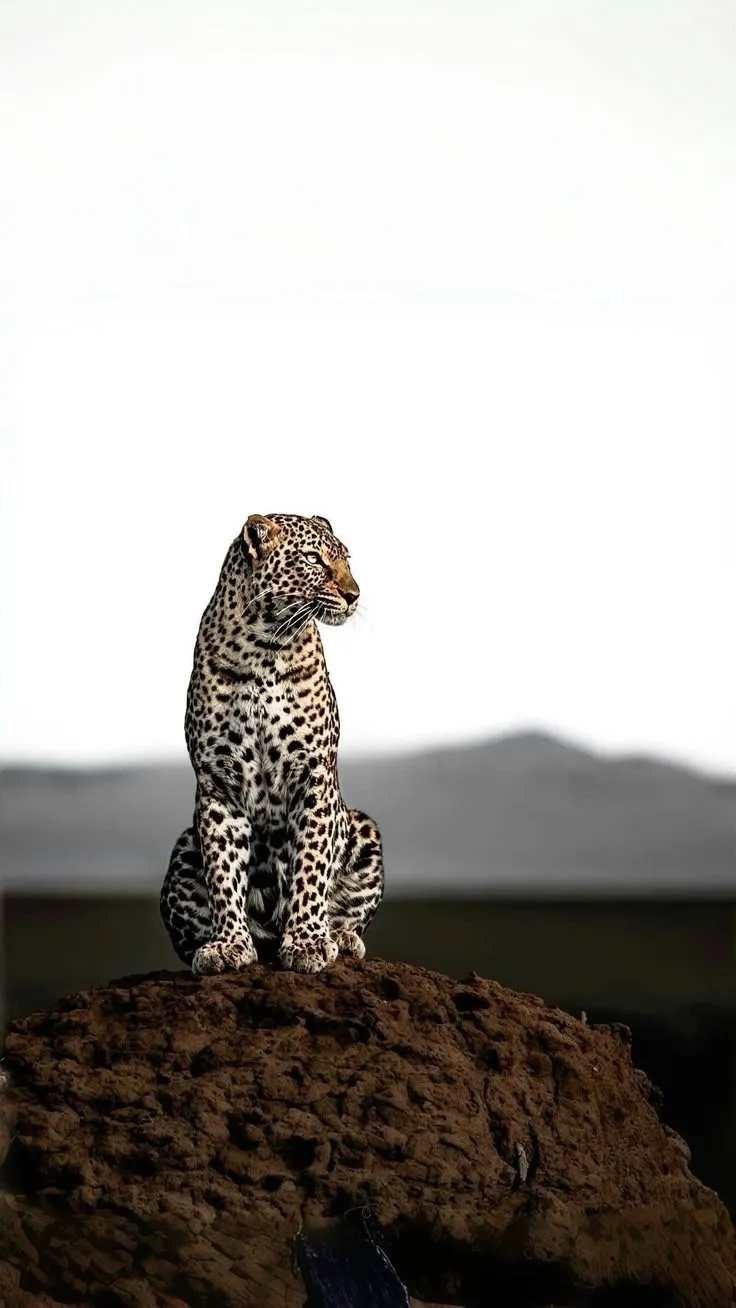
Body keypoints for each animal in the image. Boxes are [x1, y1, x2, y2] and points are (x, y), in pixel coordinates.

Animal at [160, 512, 385, 976]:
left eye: (346, 559)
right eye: (314, 559)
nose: (354, 595)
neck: (265, 645)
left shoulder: (314, 775)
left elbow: (310, 866)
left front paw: (307, 942)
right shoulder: (218, 782)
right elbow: (223, 871)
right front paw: (227, 944)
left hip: (362, 827)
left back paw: (340, 938)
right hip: (182, 849)